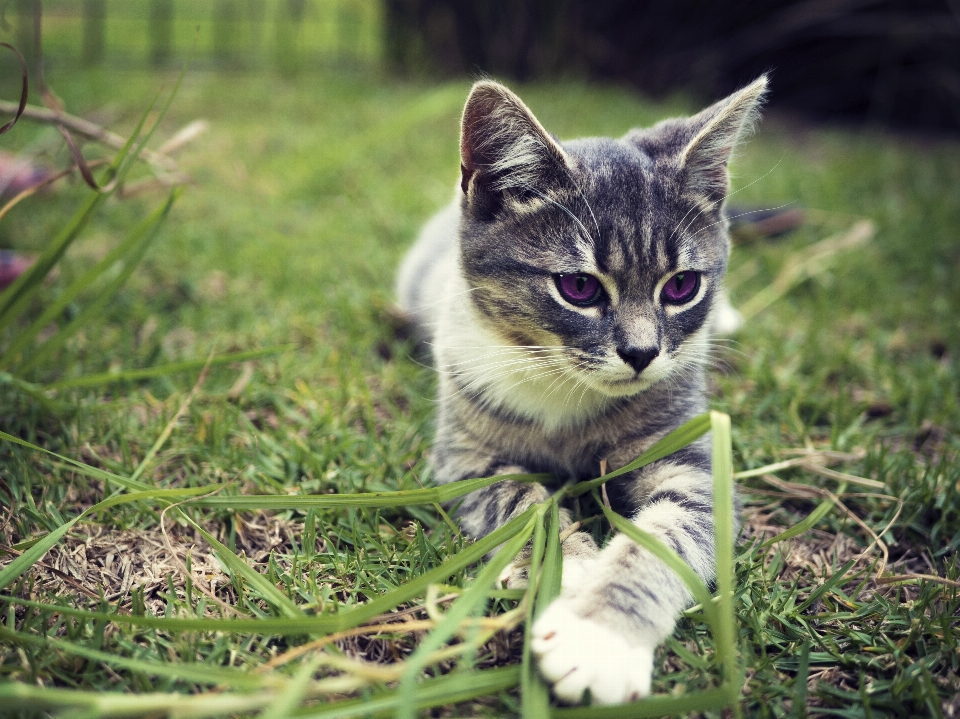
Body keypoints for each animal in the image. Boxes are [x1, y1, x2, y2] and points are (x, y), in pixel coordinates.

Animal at [396, 76, 764, 704]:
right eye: (579, 288)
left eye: (682, 286)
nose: (641, 354)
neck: (568, 388)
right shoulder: (465, 455)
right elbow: (522, 503)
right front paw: (571, 567)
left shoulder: (692, 454)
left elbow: (672, 533)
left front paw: (599, 637)